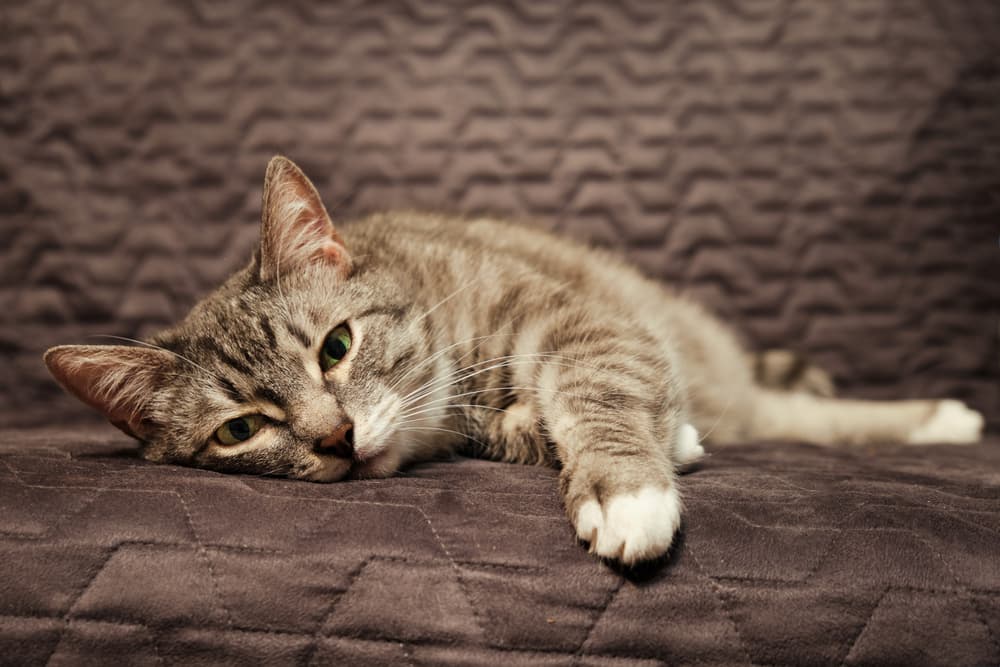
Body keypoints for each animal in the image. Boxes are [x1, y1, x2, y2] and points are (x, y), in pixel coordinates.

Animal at [41, 155, 984, 564]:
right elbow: (526, 427)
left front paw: (627, 485)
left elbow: (595, 393)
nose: (336, 437)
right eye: (240, 430)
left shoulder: (587, 324)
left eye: (337, 347)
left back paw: (939, 418)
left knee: (795, 412)